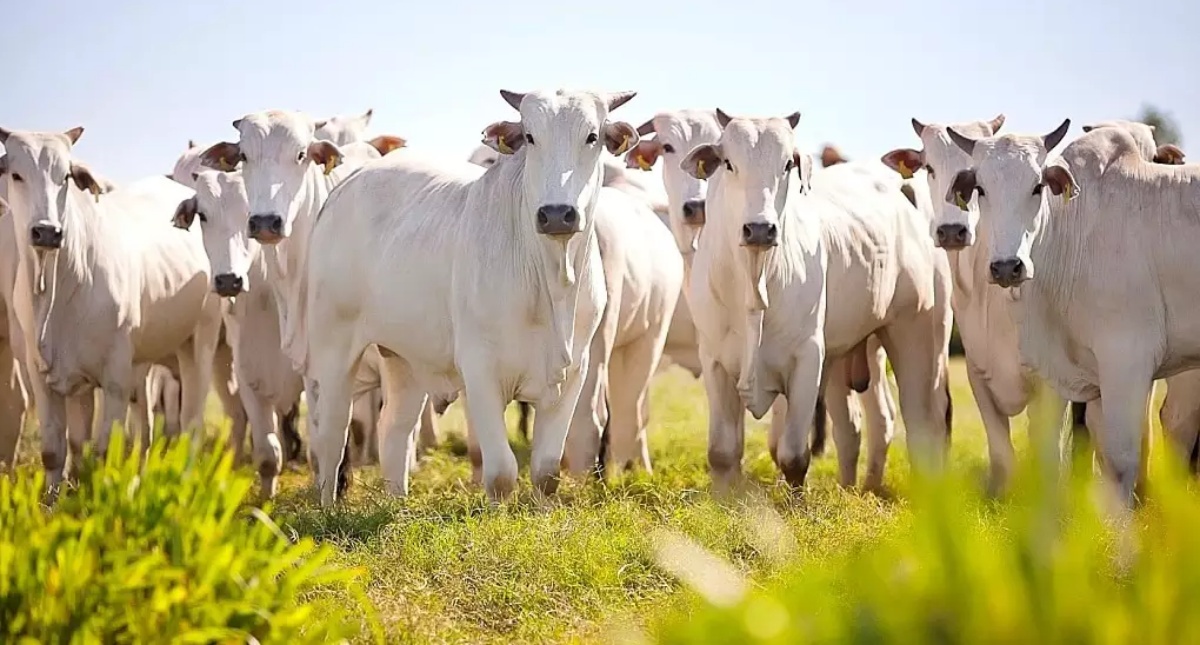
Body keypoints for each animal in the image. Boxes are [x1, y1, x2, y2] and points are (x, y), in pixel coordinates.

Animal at [0, 125, 224, 486]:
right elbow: (60, 452)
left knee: (191, 423)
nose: (47, 232)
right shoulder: (46, 376)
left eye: (65, 175)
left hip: (200, 341)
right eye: (16, 174)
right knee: (145, 429)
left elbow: (105, 452)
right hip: (143, 362)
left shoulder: (115, 375)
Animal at [302, 90, 638, 501]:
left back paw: (398, 502)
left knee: (394, 429)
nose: (557, 214)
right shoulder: (480, 370)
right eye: (530, 137)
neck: (551, 282)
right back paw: (327, 505)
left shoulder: (574, 372)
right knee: (331, 434)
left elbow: (546, 472)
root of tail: (347, 185)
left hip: (404, 357)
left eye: (592, 136)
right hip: (333, 346)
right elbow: (501, 472)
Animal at [681, 110, 950, 486]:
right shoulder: (715, 360)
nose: (760, 229)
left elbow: (794, 457)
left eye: (786, 165)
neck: (753, 282)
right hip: (851, 352)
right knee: (859, 425)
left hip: (918, 334)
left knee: (922, 423)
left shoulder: (808, 357)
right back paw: (858, 487)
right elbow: (722, 455)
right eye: (729, 163)